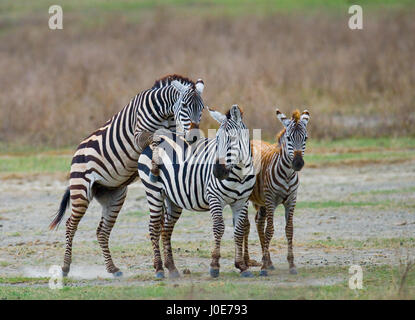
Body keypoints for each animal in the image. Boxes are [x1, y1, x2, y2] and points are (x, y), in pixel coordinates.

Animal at [48, 74, 206, 276]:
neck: (165, 113)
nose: (194, 137)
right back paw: (65, 267)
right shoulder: (140, 135)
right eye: (185, 106)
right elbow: (156, 137)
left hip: (114, 196)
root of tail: (77, 151)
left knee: (102, 231)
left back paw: (112, 268)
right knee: (70, 225)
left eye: (201, 108)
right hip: (80, 191)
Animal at [138, 104, 255, 278]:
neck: (239, 172)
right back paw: (159, 269)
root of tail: (156, 139)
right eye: (217, 139)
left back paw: (171, 268)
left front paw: (242, 266)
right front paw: (214, 266)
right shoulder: (214, 197)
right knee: (153, 228)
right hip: (154, 192)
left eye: (232, 139)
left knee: (166, 230)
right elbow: (219, 228)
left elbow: (239, 230)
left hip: (172, 199)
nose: (217, 172)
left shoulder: (242, 202)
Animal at [247, 107, 308, 276]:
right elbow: (270, 230)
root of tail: (253, 140)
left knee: (258, 222)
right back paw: (250, 262)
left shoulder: (292, 200)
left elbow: (289, 229)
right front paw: (262, 268)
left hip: (261, 201)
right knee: (246, 225)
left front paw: (292, 265)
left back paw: (268, 261)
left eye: (305, 138)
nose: (298, 163)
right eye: (288, 138)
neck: (287, 174)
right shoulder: (271, 199)